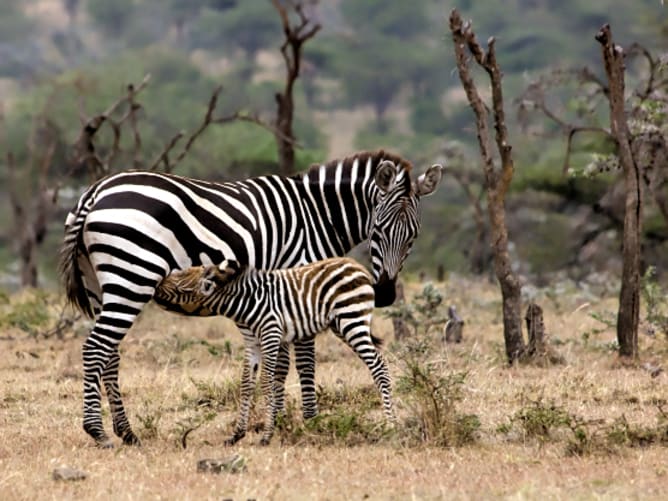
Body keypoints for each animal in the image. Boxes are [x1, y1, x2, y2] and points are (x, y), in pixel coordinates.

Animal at [155, 258, 396, 446]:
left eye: (181, 278)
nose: (157, 282)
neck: (244, 304)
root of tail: (357, 265)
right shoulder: (252, 343)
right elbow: (246, 383)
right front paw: (237, 435)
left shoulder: (271, 334)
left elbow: (266, 381)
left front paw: (267, 436)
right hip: (340, 325)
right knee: (379, 362)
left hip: (352, 320)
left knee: (378, 366)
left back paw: (390, 423)